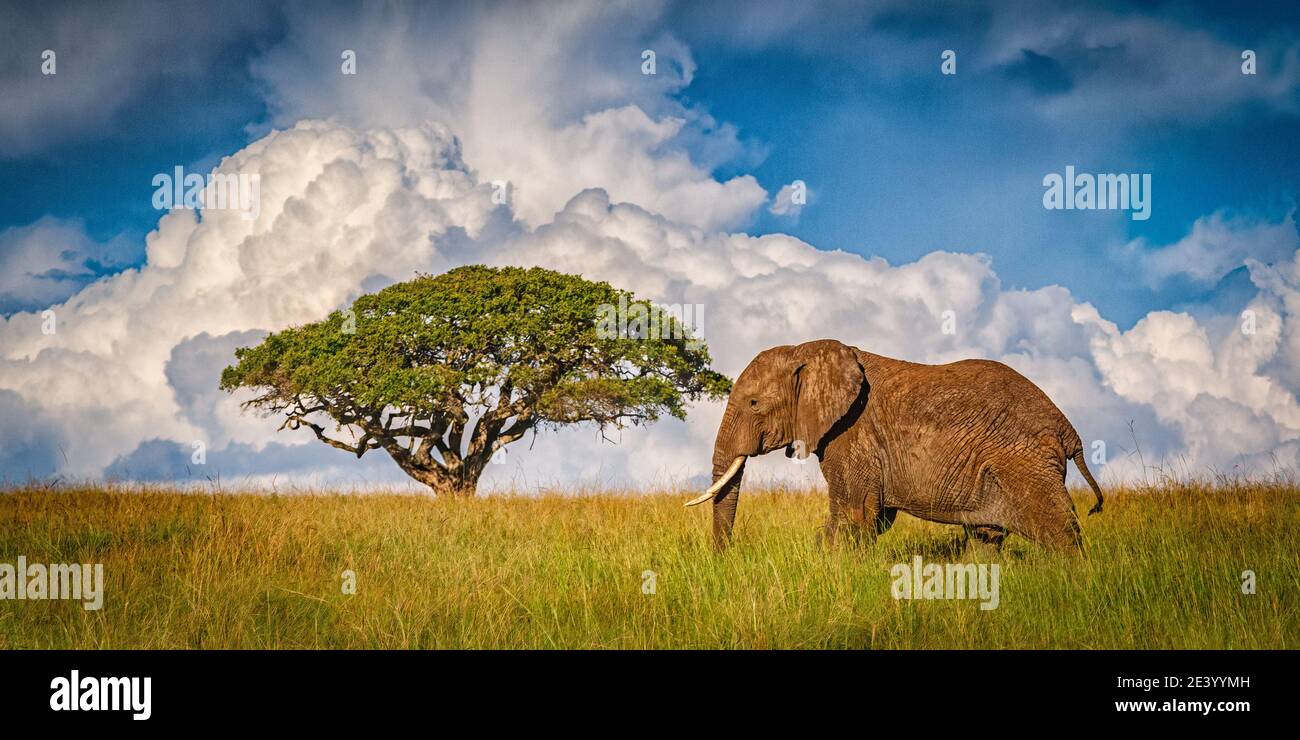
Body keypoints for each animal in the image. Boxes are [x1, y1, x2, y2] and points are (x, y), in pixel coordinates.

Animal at [686, 338, 1102, 551]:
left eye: (754, 403)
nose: (725, 560)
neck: (807, 350)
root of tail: (1069, 431)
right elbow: (874, 517)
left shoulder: (852, 433)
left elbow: (855, 514)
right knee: (987, 537)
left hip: (1024, 461)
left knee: (1060, 532)